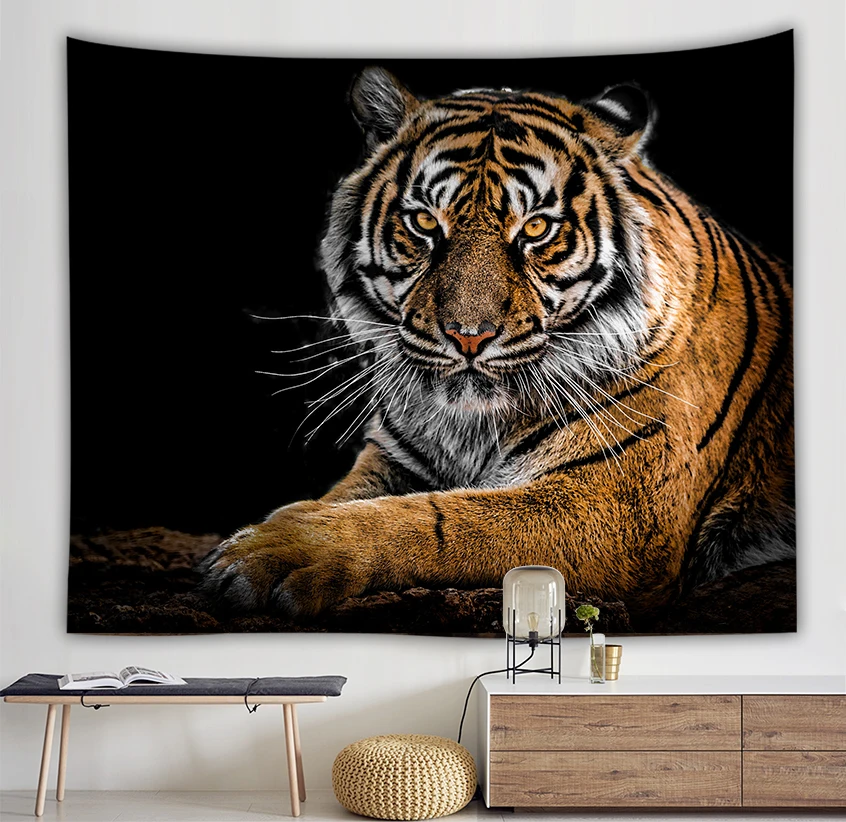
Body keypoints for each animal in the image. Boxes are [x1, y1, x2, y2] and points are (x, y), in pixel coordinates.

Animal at [200, 67, 794, 623]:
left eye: (534, 228)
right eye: (424, 222)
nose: (469, 336)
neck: (471, 427)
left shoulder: (617, 507)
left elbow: (435, 520)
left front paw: (274, 554)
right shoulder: (392, 459)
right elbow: (342, 499)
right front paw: (258, 536)